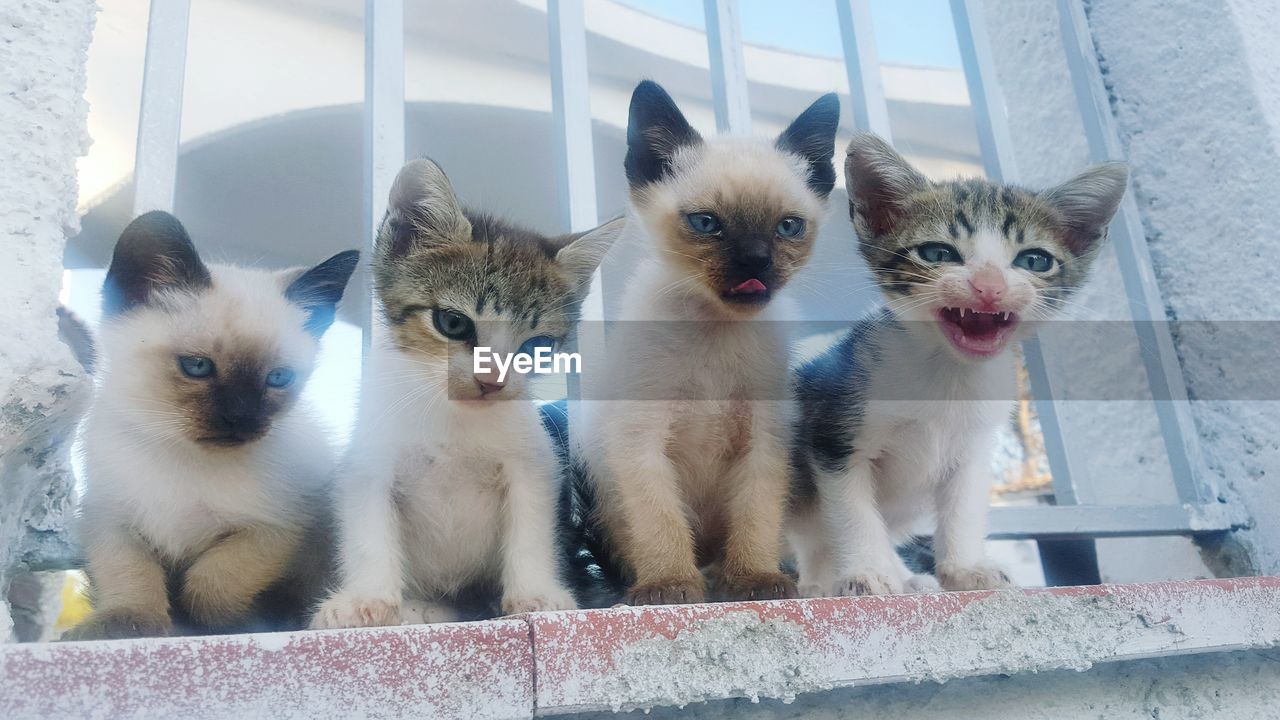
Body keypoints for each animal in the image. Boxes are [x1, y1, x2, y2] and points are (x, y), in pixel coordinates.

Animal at [70, 210, 360, 635]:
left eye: (278, 378)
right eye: (197, 367)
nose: (240, 418)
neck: (181, 458)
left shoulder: (278, 529)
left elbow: (211, 584)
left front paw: (226, 623)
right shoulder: (110, 519)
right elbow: (129, 575)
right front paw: (130, 622)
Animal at [309, 158, 619, 627]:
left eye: (537, 346)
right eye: (453, 323)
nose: (492, 381)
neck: (454, 420)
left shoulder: (532, 462)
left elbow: (530, 527)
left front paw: (536, 594)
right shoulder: (369, 463)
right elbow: (367, 529)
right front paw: (364, 599)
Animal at [578, 81, 839, 602]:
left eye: (788, 227)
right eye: (706, 223)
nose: (755, 262)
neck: (716, 329)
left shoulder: (764, 437)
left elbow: (756, 514)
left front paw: (753, 578)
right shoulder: (640, 438)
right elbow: (660, 520)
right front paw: (669, 583)